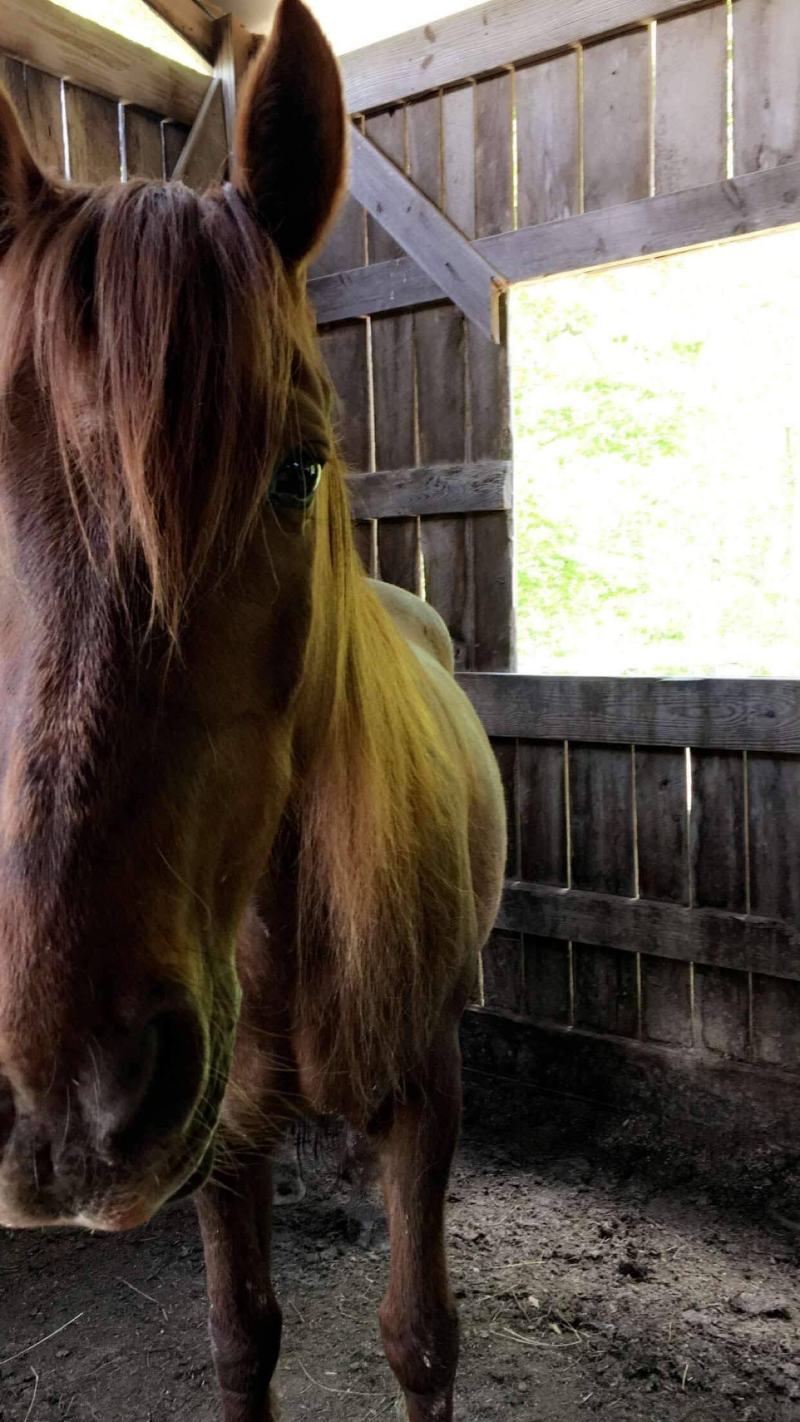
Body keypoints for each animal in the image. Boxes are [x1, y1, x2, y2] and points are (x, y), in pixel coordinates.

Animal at [0, 2, 506, 1417]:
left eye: (296, 470)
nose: (76, 1104)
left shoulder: (427, 1099)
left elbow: (419, 1339)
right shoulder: (220, 1139)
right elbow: (241, 1339)